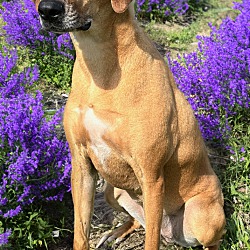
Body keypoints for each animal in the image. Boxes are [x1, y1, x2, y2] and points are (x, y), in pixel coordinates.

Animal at [33, 0, 227, 248]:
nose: (47, 10)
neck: (100, 68)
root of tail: (170, 234)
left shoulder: (151, 176)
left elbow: (150, 242)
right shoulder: (82, 166)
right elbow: (80, 234)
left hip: (202, 216)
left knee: (203, 239)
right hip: (112, 191)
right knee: (138, 221)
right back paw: (115, 233)